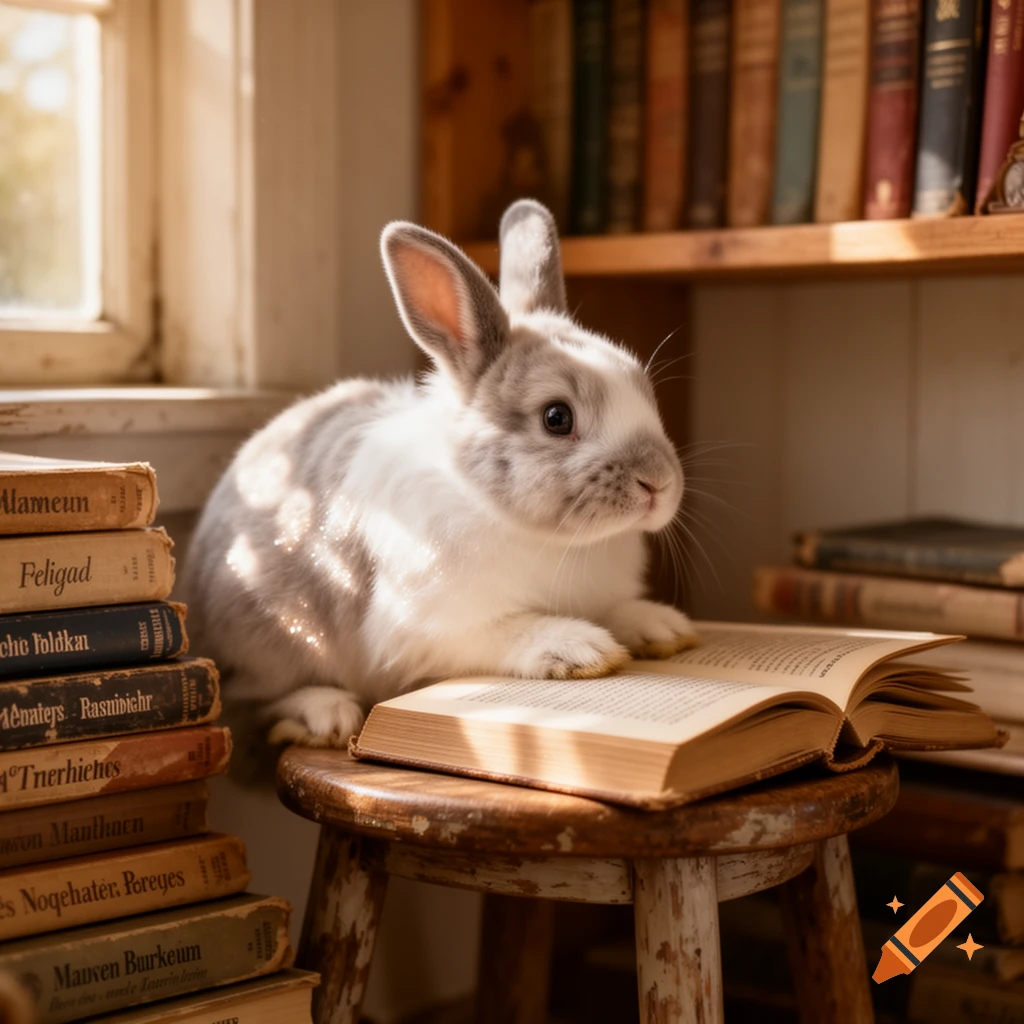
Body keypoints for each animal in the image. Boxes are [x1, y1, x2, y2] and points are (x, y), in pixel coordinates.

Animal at [182, 199, 697, 773]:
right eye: (557, 417)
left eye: (643, 390)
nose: (658, 482)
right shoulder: (427, 631)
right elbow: (505, 630)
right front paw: (579, 648)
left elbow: (617, 610)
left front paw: (662, 627)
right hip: (269, 640)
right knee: (249, 702)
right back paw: (325, 713)